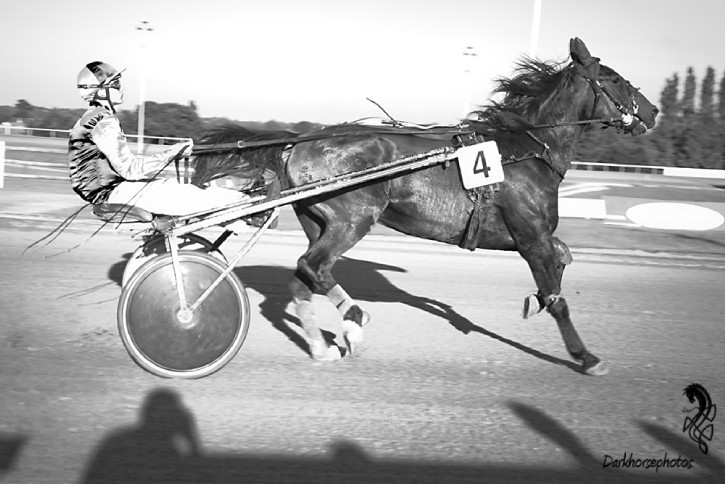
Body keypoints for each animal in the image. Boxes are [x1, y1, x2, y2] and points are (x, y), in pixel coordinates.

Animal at [191, 39, 656, 376]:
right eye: (615, 79)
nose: (651, 110)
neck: (527, 149)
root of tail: (300, 141)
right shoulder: (530, 236)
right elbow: (558, 296)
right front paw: (585, 356)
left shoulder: (531, 238)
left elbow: (563, 260)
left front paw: (536, 300)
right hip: (352, 219)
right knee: (314, 267)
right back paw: (354, 321)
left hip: (318, 220)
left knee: (303, 277)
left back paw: (323, 345)